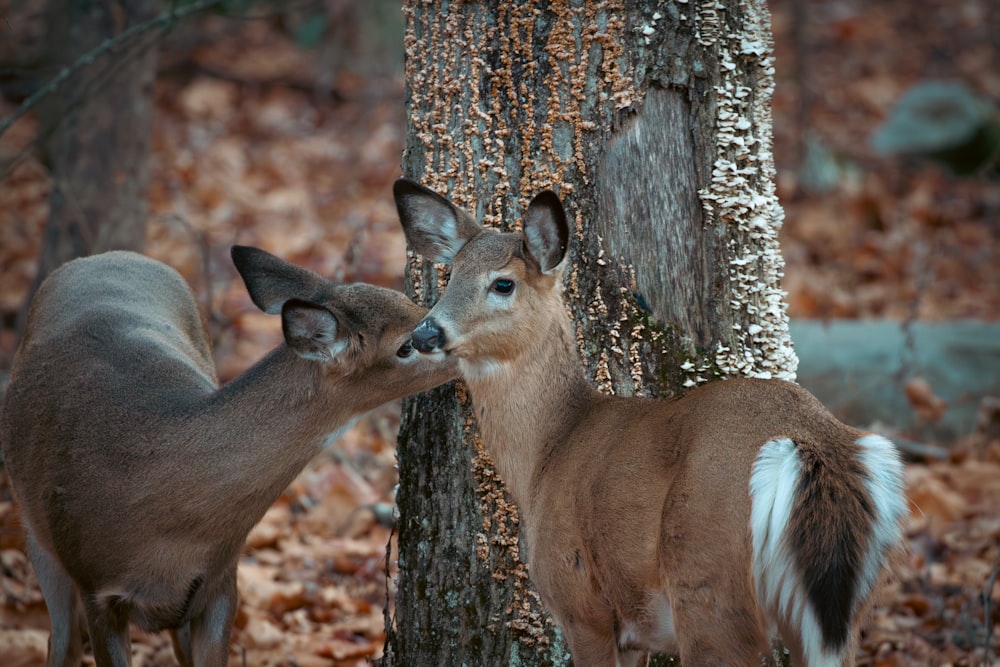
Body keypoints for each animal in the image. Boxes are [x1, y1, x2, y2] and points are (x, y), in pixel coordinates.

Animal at [0, 247, 458, 667]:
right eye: (405, 346)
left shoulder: (221, 582)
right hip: (38, 538)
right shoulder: (96, 586)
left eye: (413, 302)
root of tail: (106, 255)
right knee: (61, 643)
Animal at [394, 179, 912, 667]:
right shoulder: (633, 631)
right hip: (837, 613)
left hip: (708, 581)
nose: (424, 333)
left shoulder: (581, 602)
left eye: (503, 284)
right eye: (450, 275)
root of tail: (812, 445)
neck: (549, 452)